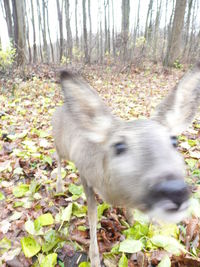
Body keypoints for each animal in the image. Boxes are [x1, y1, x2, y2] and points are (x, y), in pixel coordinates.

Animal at [52, 63, 200, 267]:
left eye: (174, 141)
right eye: (119, 146)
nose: (174, 190)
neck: (110, 191)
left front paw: (134, 222)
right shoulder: (85, 174)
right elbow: (92, 214)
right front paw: (94, 258)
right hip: (60, 145)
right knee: (57, 158)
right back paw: (59, 186)